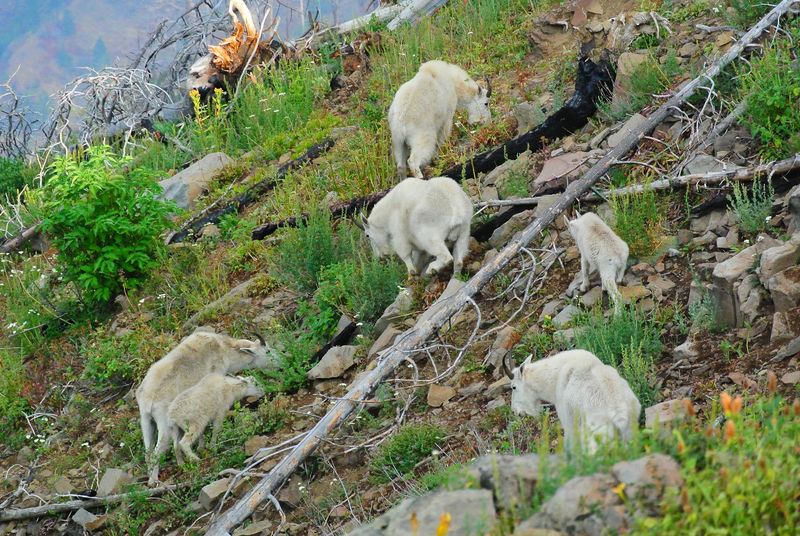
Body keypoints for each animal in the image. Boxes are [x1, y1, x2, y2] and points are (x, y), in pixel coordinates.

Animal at [136, 330, 278, 484]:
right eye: (267, 350)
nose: (280, 361)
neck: (225, 350)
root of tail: (147, 400)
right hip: (163, 423)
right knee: (157, 452)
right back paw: (154, 480)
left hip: (146, 421)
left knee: (148, 452)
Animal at [504, 350, 641, 454]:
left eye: (513, 387)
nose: (515, 411)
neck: (553, 378)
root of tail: (620, 413)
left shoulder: (567, 421)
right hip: (630, 432)